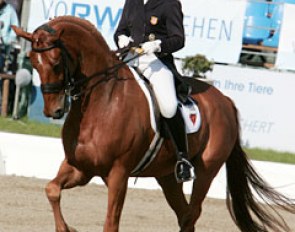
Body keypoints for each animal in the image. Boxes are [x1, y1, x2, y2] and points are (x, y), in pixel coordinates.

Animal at [12, 15, 295, 231]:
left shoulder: (118, 173)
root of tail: (224, 100)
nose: (54, 110)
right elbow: (51, 189)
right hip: (167, 176)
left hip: (207, 170)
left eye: (56, 62)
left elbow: (111, 223)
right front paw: (67, 228)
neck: (102, 101)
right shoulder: (80, 168)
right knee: (184, 214)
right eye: (34, 63)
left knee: (191, 214)